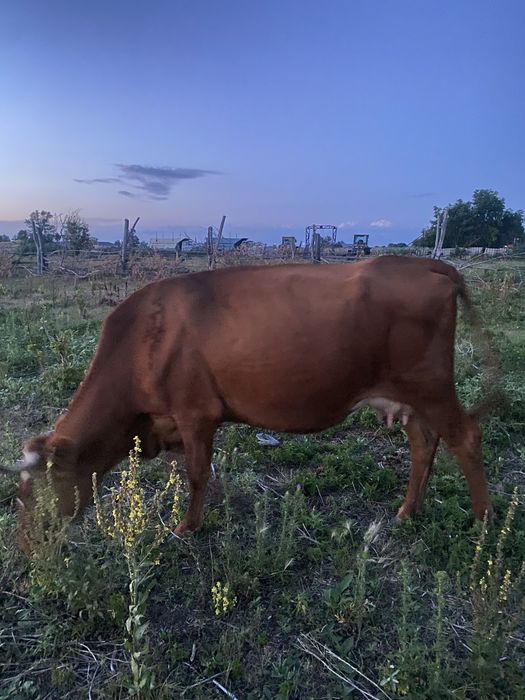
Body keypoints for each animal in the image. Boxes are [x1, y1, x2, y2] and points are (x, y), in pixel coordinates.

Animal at [2, 256, 499, 553]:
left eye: (33, 495)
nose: (25, 550)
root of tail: (423, 262)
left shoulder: (195, 412)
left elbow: (196, 473)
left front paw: (186, 528)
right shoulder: (176, 423)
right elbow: (203, 472)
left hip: (431, 386)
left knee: (467, 438)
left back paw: (484, 524)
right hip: (407, 398)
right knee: (424, 444)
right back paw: (407, 512)